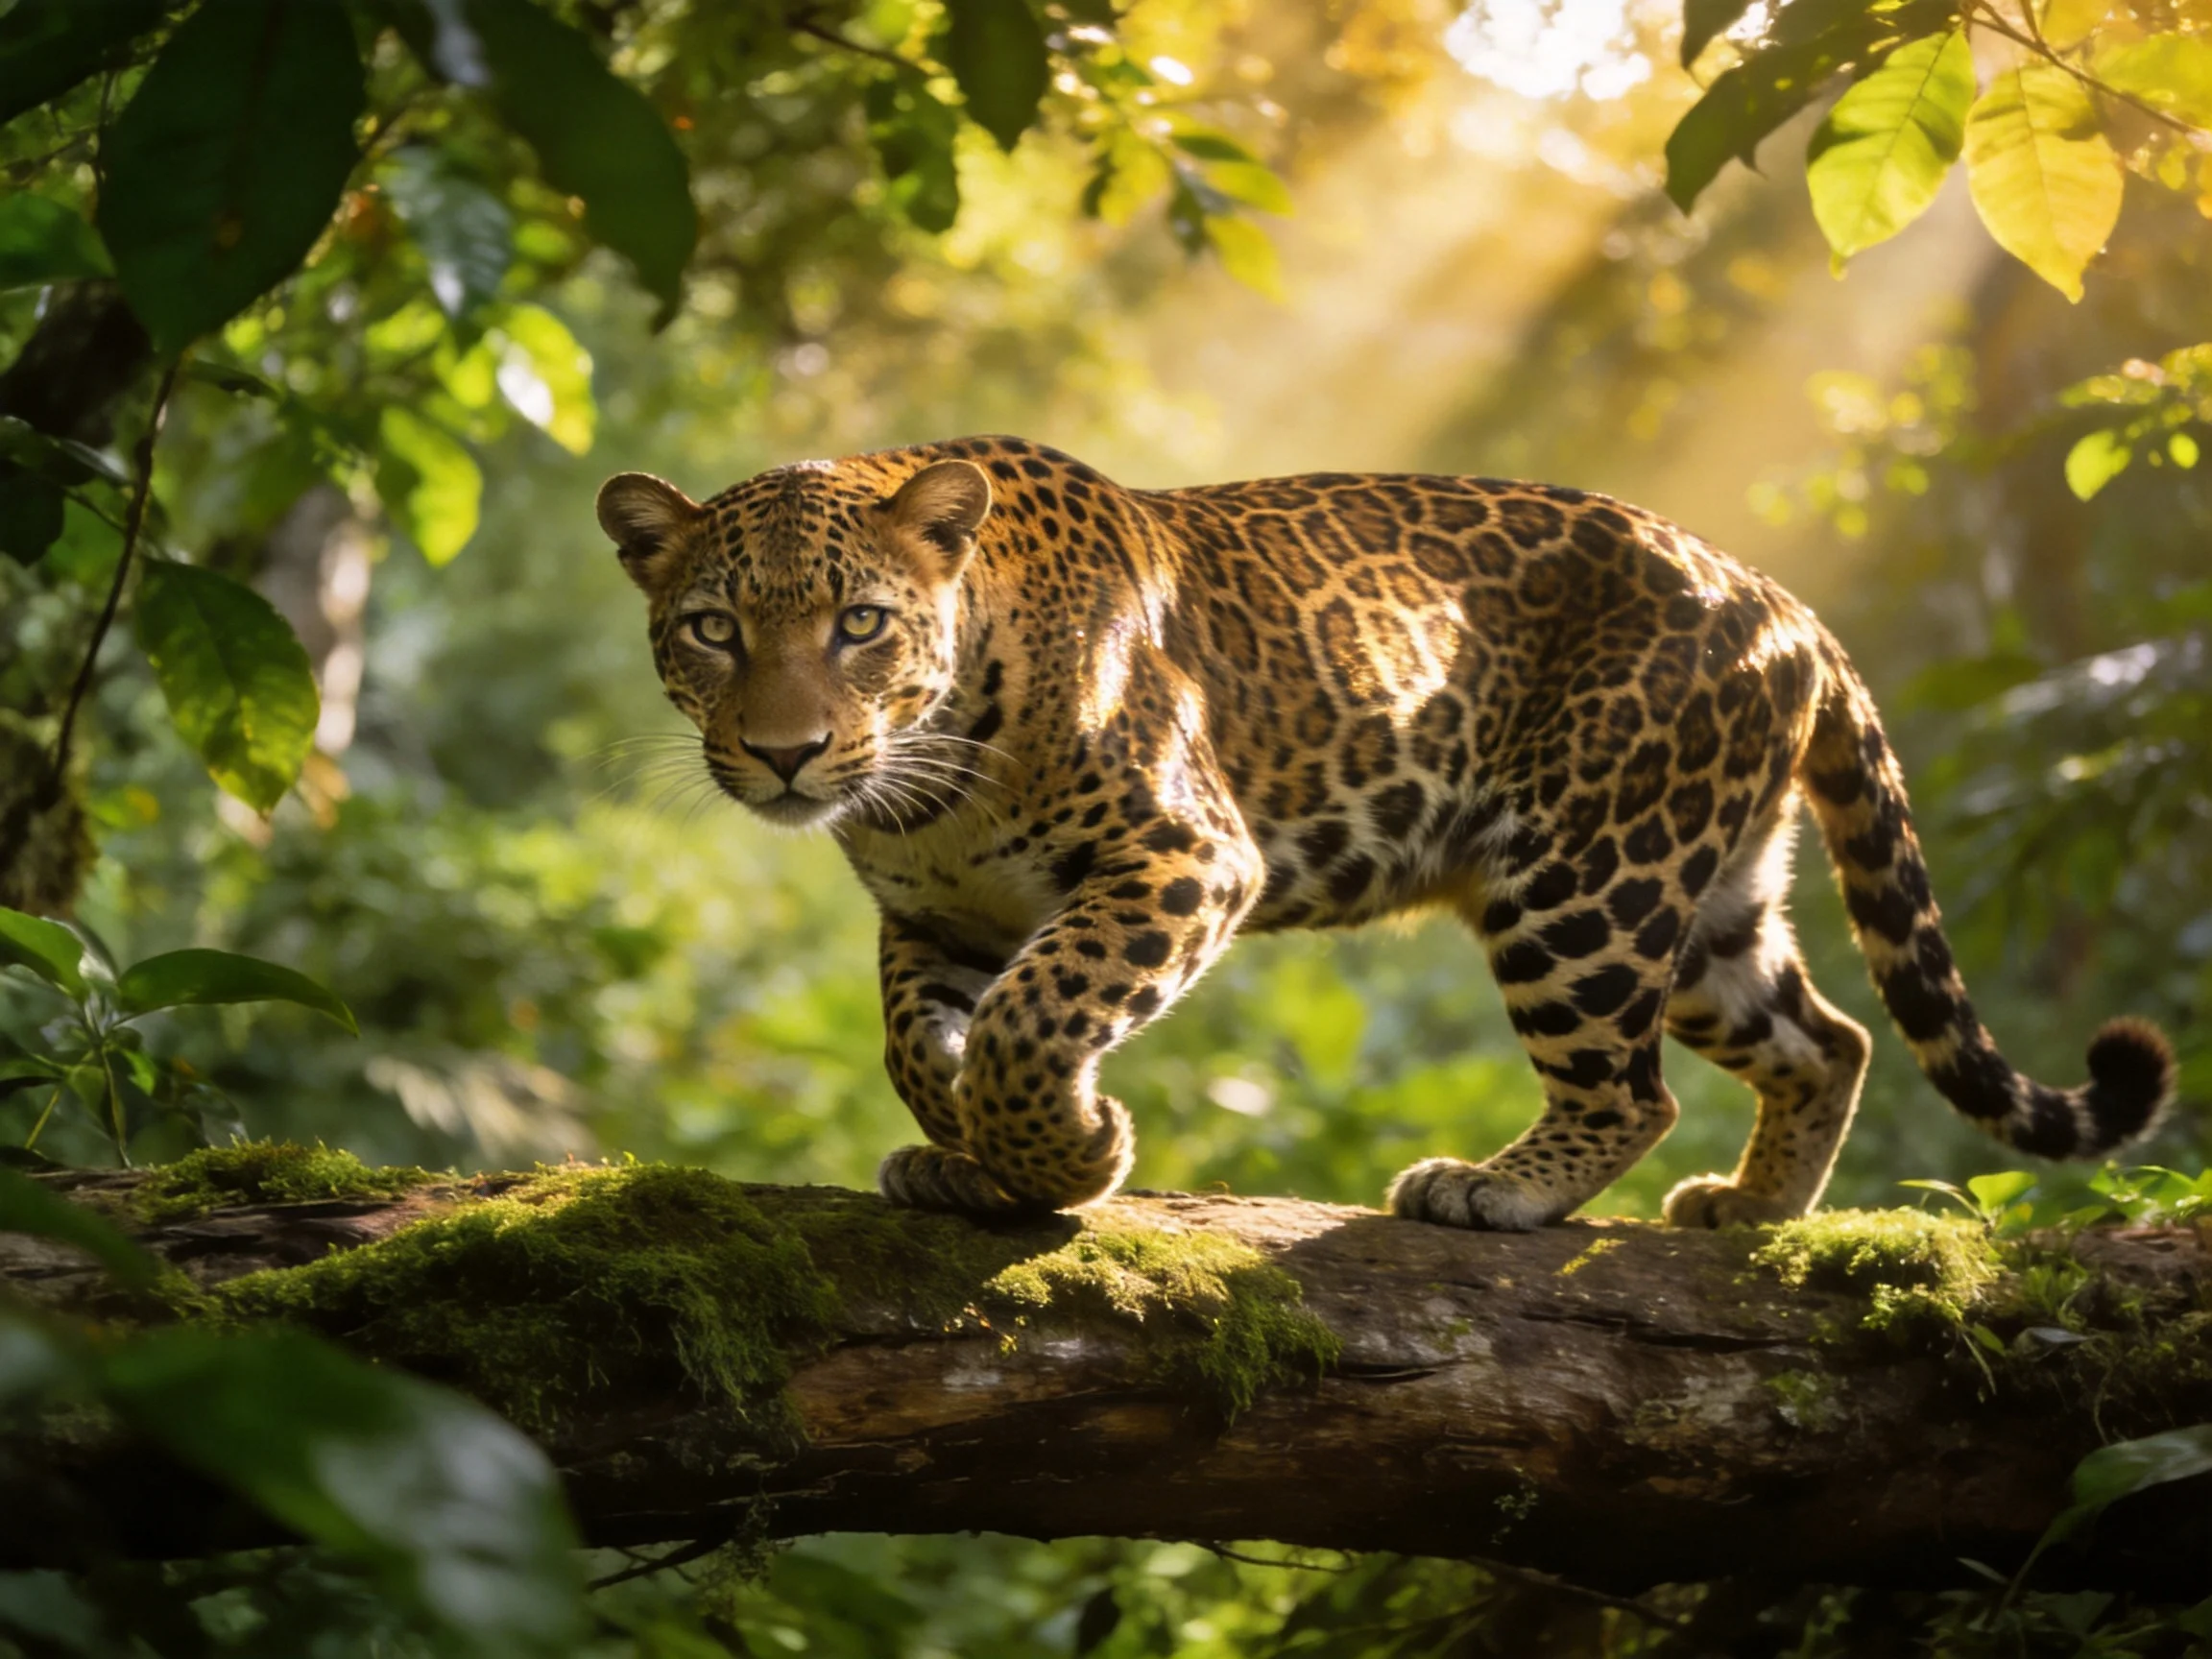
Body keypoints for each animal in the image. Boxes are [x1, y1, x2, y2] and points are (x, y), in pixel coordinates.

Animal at [597, 435, 2175, 1231]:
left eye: (861, 625)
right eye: (713, 630)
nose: (787, 752)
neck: (930, 775)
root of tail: (1783, 601)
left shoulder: (1184, 857)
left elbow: (1033, 1023)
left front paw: (1072, 1151)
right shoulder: (932, 917)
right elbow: (925, 1048)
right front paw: (976, 1159)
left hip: (1588, 880)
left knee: (1633, 1089)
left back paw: (1495, 1190)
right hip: (1705, 898)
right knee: (1829, 1038)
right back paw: (1753, 1211)